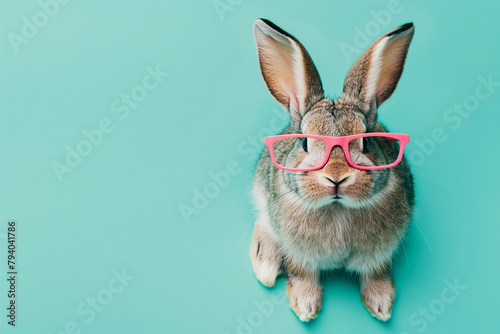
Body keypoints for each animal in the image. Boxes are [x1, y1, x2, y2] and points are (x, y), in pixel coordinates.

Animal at [250, 18, 414, 324]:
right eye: (304, 143)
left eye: (366, 142)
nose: (336, 178)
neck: (337, 209)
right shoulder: (298, 255)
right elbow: (302, 275)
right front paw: (305, 307)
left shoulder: (379, 256)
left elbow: (375, 274)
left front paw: (381, 306)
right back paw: (264, 265)